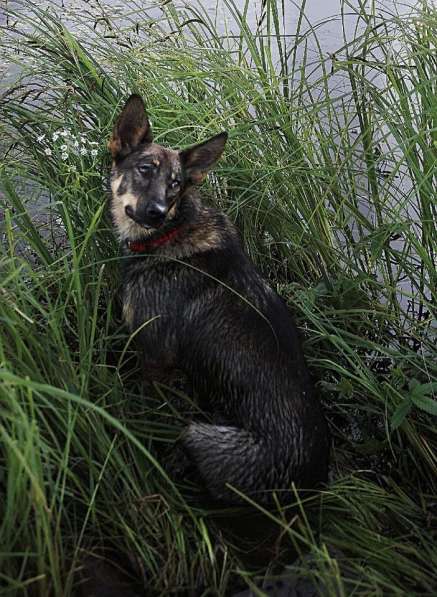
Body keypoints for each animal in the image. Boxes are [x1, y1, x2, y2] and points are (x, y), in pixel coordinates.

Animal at [108, 93, 328, 502]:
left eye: (176, 184)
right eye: (144, 169)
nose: (156, 212)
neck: (172, 232)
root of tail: (304, 490)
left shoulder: (155, 359)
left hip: (199, 434)